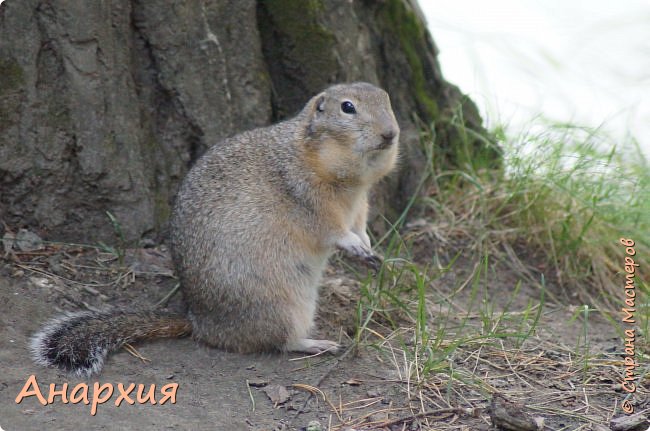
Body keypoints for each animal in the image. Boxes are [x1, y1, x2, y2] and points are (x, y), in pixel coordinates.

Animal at [30, 82, 398, 376]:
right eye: (347, 107)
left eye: (387, 99)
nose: (390, 133)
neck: (348, 180)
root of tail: (199, 322)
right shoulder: (307, 197)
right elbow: (332, 230)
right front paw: (354, 245)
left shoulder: (360, 203)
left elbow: (360, 225)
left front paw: (369, 247)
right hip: (284, 308)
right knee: (278, 341)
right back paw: (314, 343)